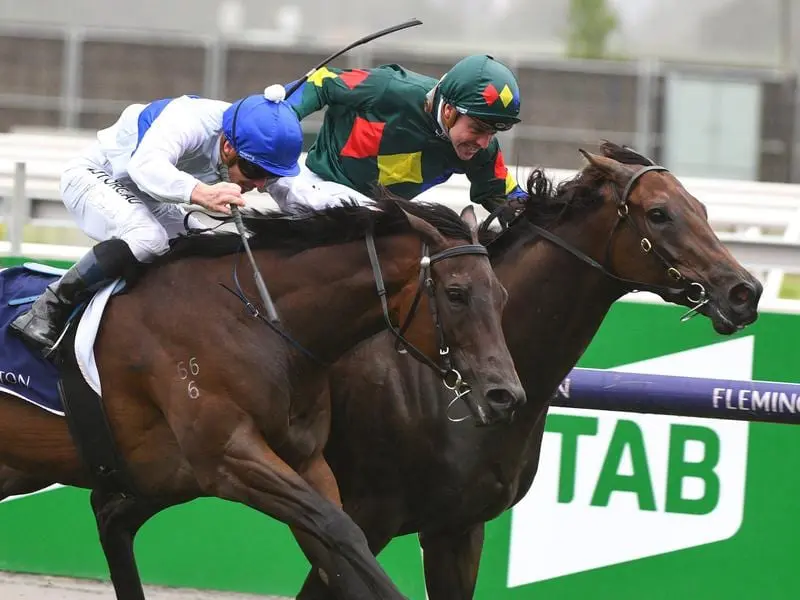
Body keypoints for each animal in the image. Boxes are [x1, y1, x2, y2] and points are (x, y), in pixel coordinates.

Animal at [0, 195, 524, 596]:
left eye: (501, 295)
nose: (507, 395)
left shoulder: (306, 460)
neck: (254, 321)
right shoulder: (229, 458)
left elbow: (338, 548)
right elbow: (340, 531)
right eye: (456, 293)